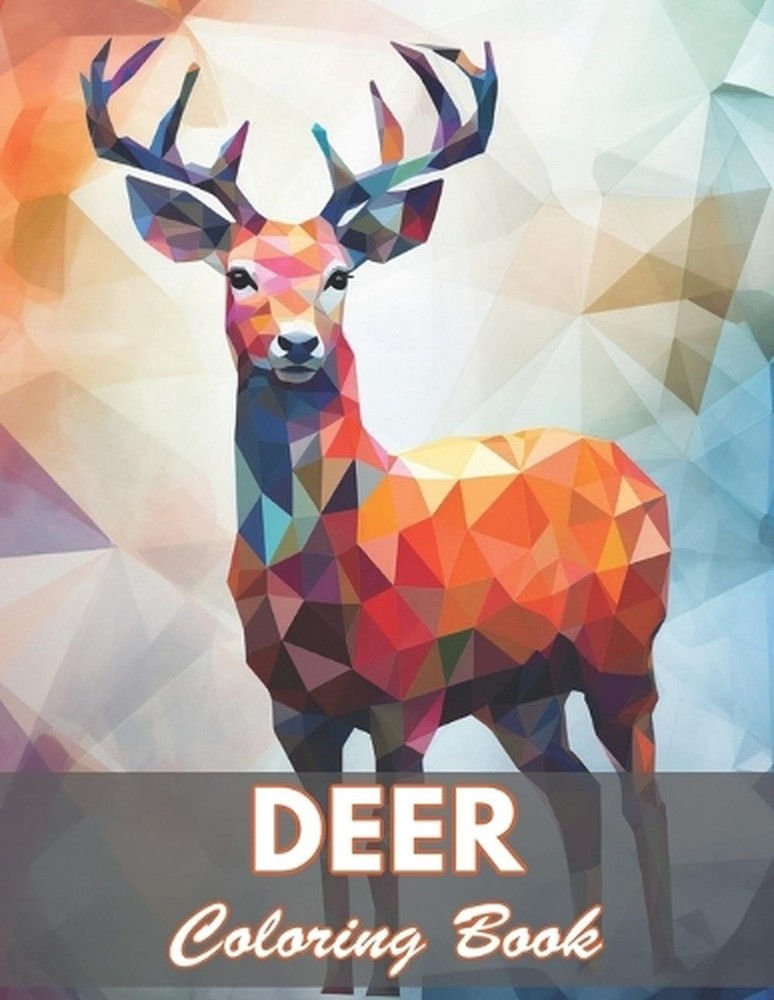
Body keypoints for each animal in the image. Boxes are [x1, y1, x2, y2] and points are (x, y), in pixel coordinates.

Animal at [84, 37, 678, 993]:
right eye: (239, 273)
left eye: (341, 274)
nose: (297, 344)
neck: (333, 568)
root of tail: (637, 469)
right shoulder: (296, 711)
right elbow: (328, 856)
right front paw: (334, 985)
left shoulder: (409, 695)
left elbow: (391, 860)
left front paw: (390, 983)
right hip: (521, 693)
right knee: (577, 791)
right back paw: (580, 964)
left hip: (623, 650)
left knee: (643, 794)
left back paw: (666, 963)